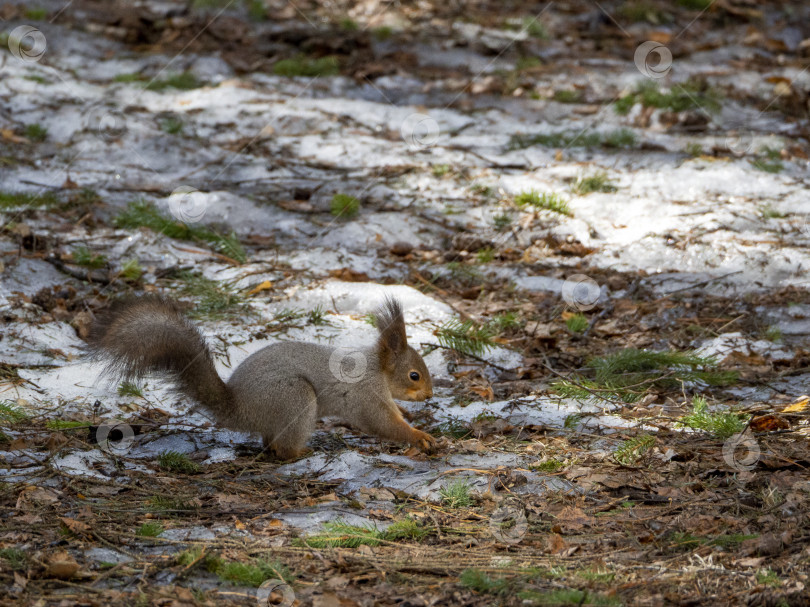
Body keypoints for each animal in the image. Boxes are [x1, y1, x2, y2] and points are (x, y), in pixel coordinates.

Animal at [87, 296, 436, 460]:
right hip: (295, 398)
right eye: (414, 375)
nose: (430, 395)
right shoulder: (367, 395)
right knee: (281, 449)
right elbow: (384, 424)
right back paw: (301, 452)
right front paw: (419, 436)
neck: (378, 369)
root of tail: (239, 408)